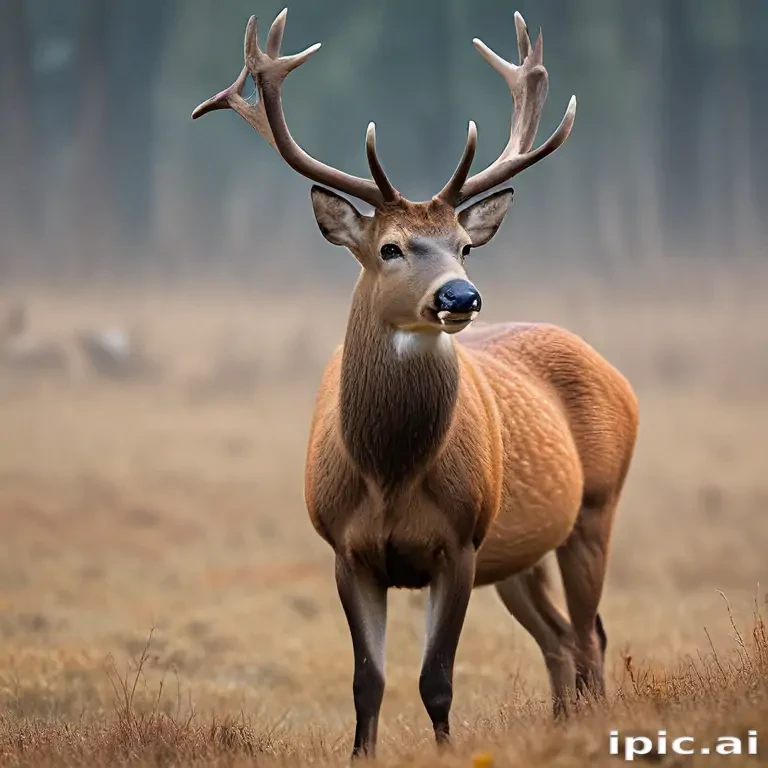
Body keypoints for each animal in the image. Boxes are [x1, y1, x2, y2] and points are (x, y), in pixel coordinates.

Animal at [192, 7, 639, 759]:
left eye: (465, 244)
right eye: (390, 247)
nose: (461, 296)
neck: (389, 474)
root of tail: (618, 377)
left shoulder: (458, 543)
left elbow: (436, 679)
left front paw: (449, 751)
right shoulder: (346, 548)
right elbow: (366, 681)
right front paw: (361, 755)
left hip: (594, 507)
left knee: (590, 634)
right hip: (519, 550)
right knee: (561, 639)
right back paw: (559, 724)